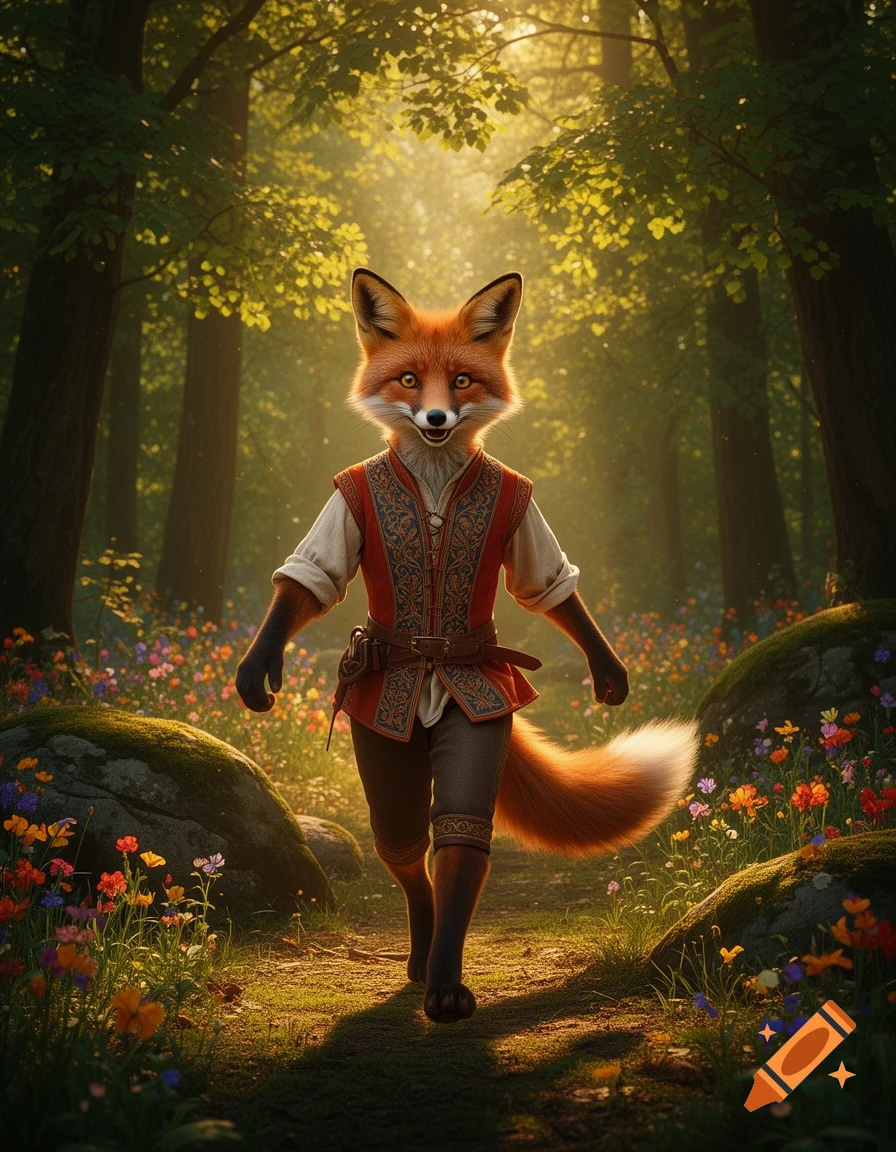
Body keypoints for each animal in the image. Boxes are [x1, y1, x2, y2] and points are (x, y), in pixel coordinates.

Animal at [236, 268, 699, 1024]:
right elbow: (309, 579)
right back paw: (418, 948)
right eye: (406, 380)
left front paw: (448, 987)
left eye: (460, 380)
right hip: (387, 769)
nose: (434, 421)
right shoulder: (338, 523)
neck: (431, 478)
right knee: (401, 845)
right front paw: (257, 670)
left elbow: (550, 587)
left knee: (435, 842)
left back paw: (431, 960)